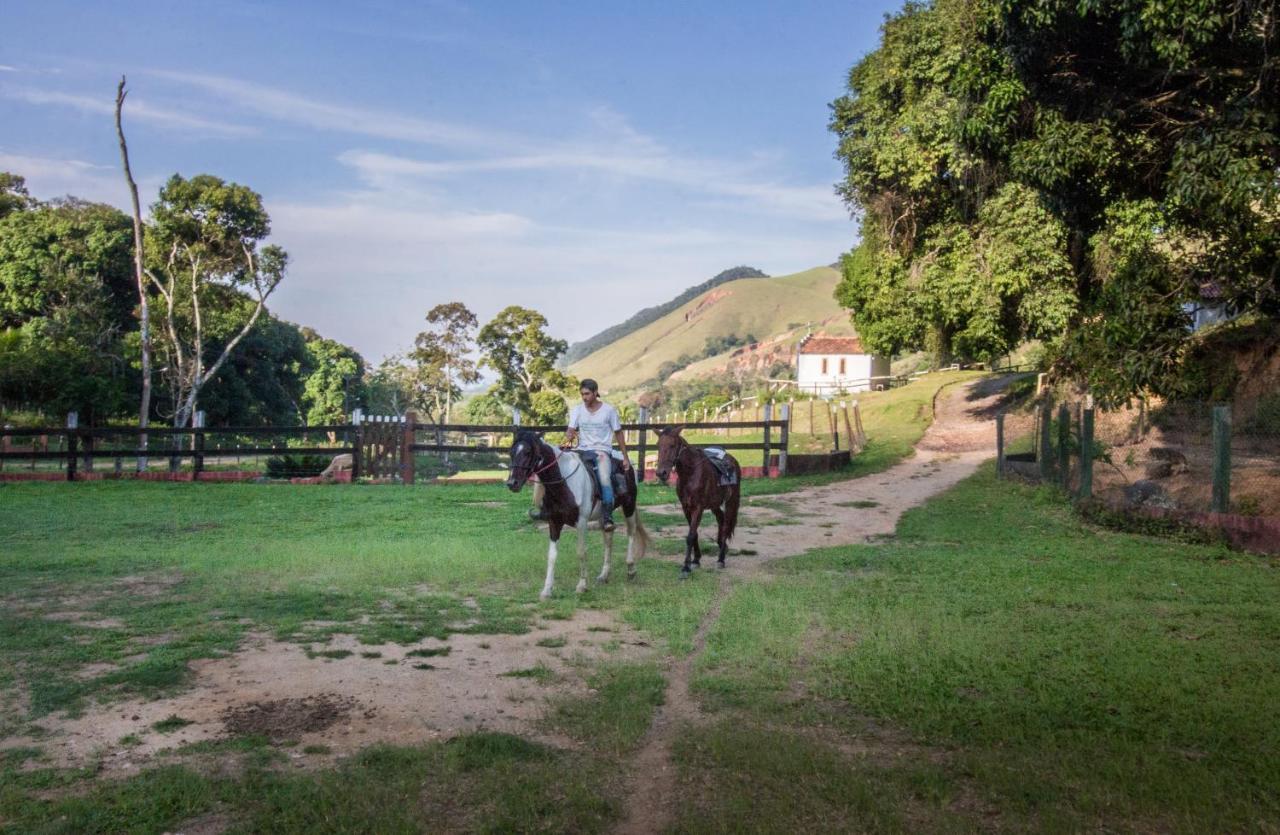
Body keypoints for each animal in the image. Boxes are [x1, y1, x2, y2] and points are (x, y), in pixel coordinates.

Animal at [504, 430, 650, 599]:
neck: (564, 482)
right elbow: (552, 556)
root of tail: (627, 461)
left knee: (631, 533)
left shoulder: (581, 522)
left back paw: (631, 569)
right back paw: (604, 575)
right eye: (511, 452)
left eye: (528, 452)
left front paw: (582, 586)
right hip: (605, 515)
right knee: (608, 538)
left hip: (629, 505)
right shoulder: (554, 522)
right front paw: (547, 590)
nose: (512, 483)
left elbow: (581, 552)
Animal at [660, 427, 742, 571]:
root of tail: (732, 460)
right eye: (658, 445)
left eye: (672, 445)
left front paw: (686, 566)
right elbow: (695, 534)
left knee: (726, 524)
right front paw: (696, 560)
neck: (691, 473)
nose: (661, 473)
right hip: (714, 503)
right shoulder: (686, 507)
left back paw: (721, 559)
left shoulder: (698, 507)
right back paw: (721, 546)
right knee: (720, 519)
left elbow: (691, 536)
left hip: (731, 501)